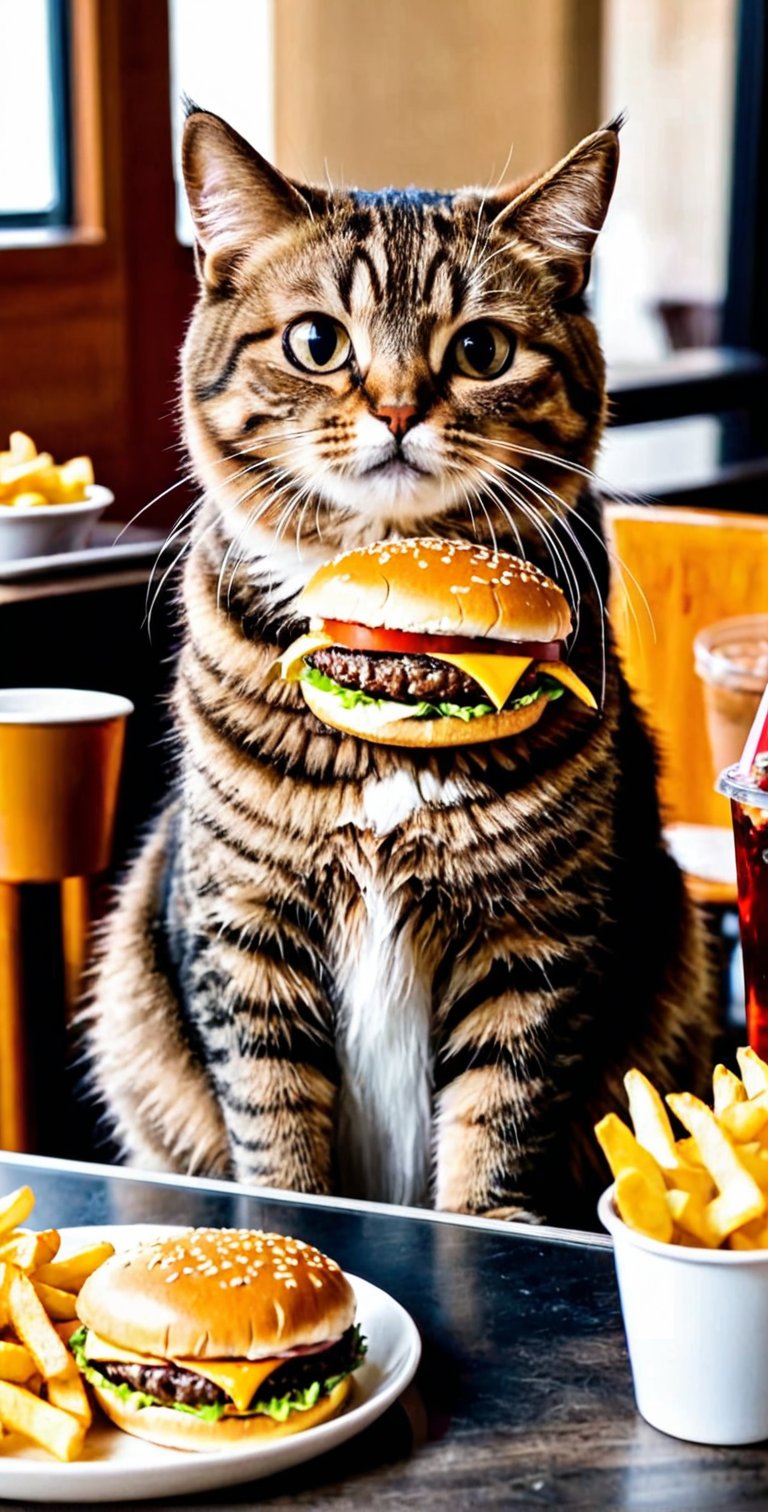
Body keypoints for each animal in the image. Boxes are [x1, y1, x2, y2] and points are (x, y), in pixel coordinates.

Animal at [89, 106, 713, 1221]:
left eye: (482, 349)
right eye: (317, 342)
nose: (395, 408)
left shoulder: (535, 939)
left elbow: (498, 1119)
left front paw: (484, 1218)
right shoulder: (246, 922)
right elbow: (274, 1122)